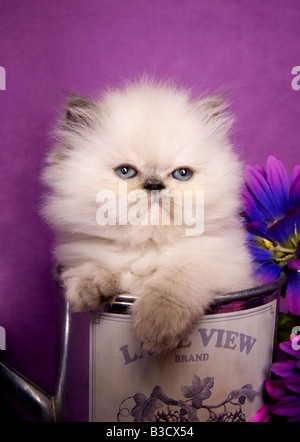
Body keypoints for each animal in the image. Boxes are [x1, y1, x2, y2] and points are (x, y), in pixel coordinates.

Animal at [41, 78, 254, 356]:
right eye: (126, 172)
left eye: (182, 174)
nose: (154, 185)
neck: (148, 246)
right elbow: (102, 266)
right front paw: (89, 288)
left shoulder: (223, 269)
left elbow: (176, 280)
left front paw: (156, 326)